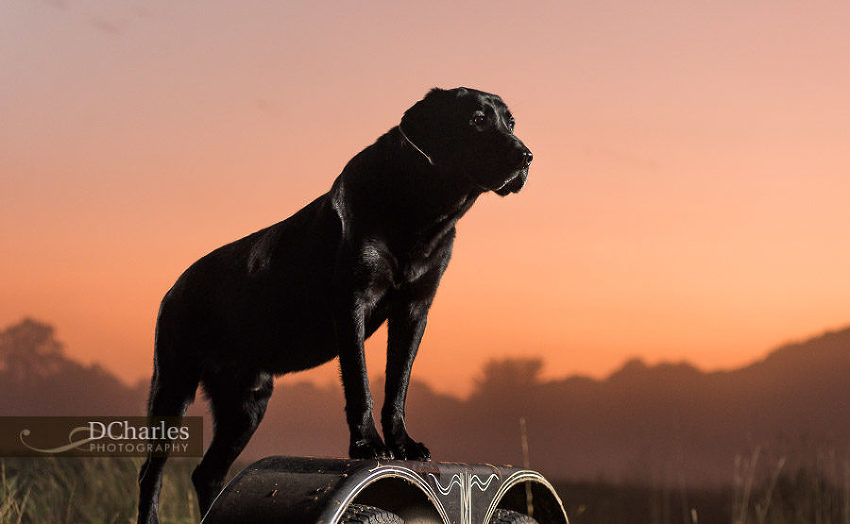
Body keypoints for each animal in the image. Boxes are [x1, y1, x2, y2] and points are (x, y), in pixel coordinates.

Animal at [136, 86, 528, 520]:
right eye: (477, 120)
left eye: (511, 122)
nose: (526, 156)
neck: (423, 209)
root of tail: (175, 286)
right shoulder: (352, 301)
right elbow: (360, 383)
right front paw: (367, 445)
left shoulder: (414, 310)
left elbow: (398, 385)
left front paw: (403, 445)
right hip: (174, 385)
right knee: (151, 472)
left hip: (246, 404)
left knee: (207, 473)